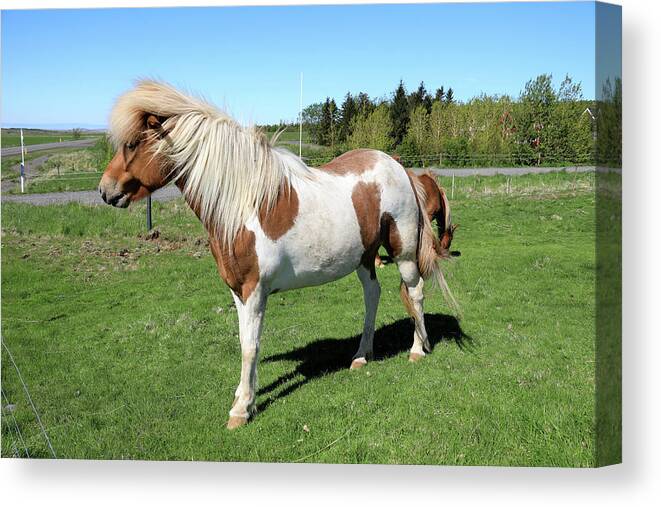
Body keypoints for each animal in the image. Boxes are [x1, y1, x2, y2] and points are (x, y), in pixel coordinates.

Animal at [99, 81, 458, 430]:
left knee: (415, 292)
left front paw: (241, 410)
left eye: (132, 144)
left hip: (403, 253)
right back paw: (361, 355)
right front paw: (244, 397)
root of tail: (398, 167)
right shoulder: (238, 293)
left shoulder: (254, 291)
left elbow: (250, 347)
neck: (244, 204)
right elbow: (244, 341)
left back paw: (417, 349)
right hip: (365, 258)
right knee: (373, 294)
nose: (105, 190)